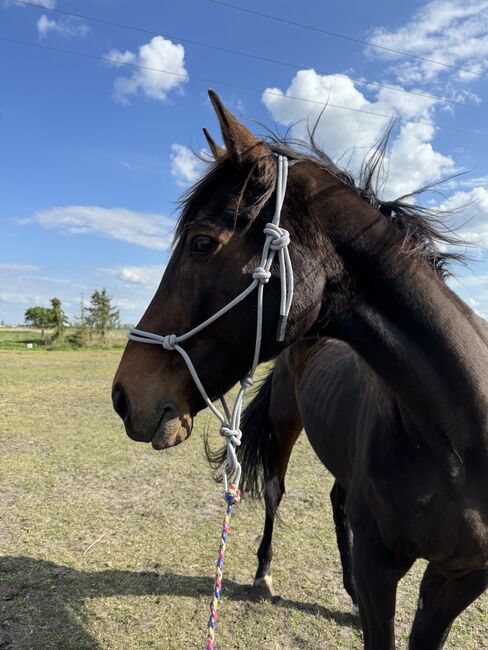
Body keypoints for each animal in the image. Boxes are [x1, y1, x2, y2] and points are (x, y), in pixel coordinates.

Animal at [111, 90, 488, 648]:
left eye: (201, 242)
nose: (123, 395)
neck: (458, 441)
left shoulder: (459, 577)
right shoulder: (381, 568)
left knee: (335, 498)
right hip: (286, 425)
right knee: (275, 491)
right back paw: (264, 574)